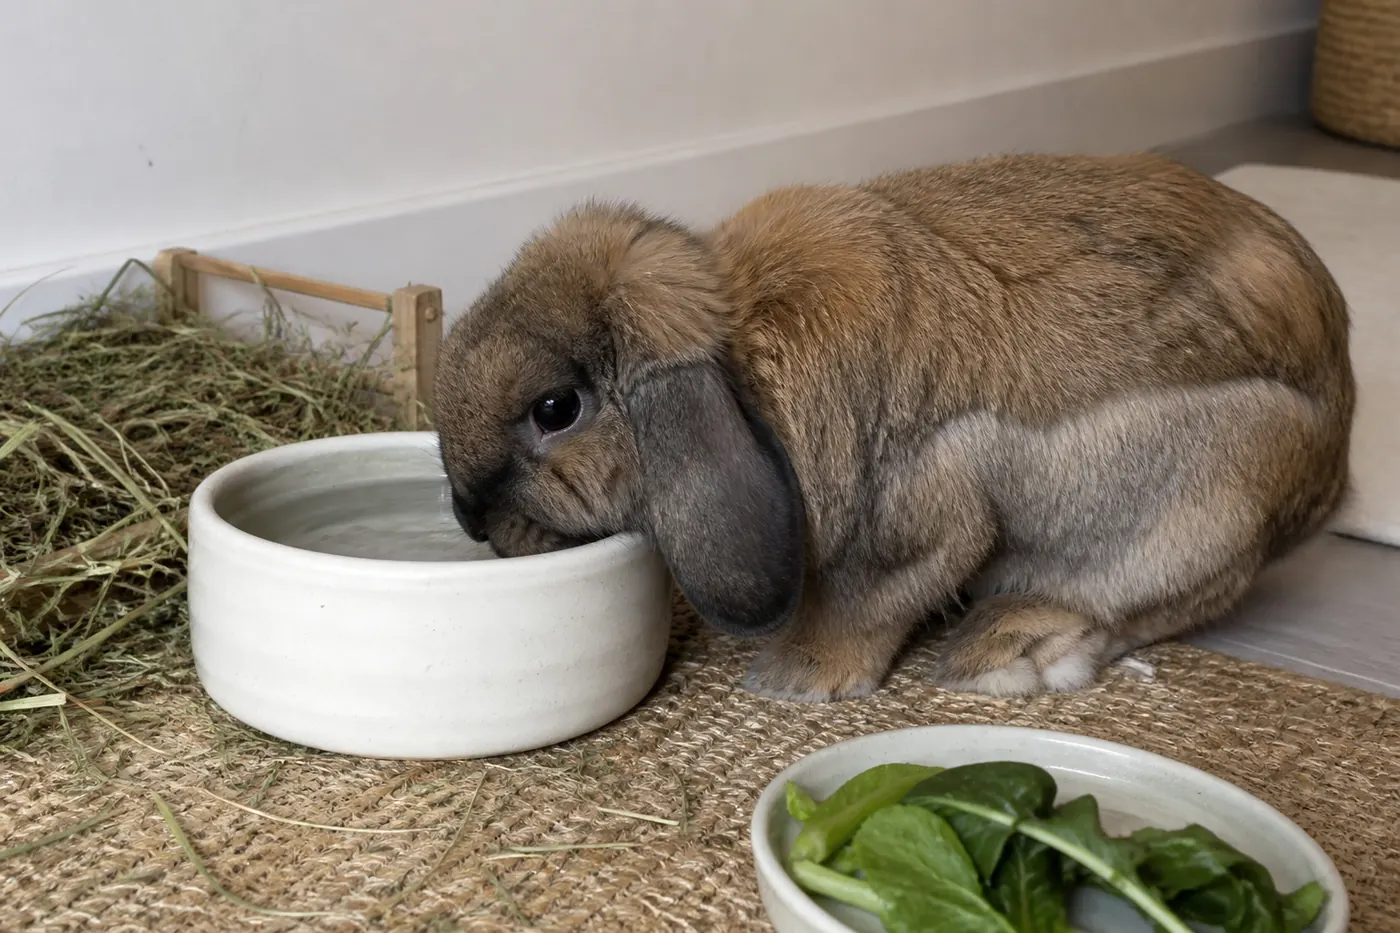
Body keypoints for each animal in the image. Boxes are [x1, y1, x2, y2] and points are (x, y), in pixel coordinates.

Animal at [432, 151, 1355, 702]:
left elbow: (868, 604)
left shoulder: (920, 520)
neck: (741, 360)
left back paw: (1009, 651)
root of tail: (1333, 455)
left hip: (1208, 510)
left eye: (556, 409)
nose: (469, 517)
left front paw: (796, 680)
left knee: (1152, 602)